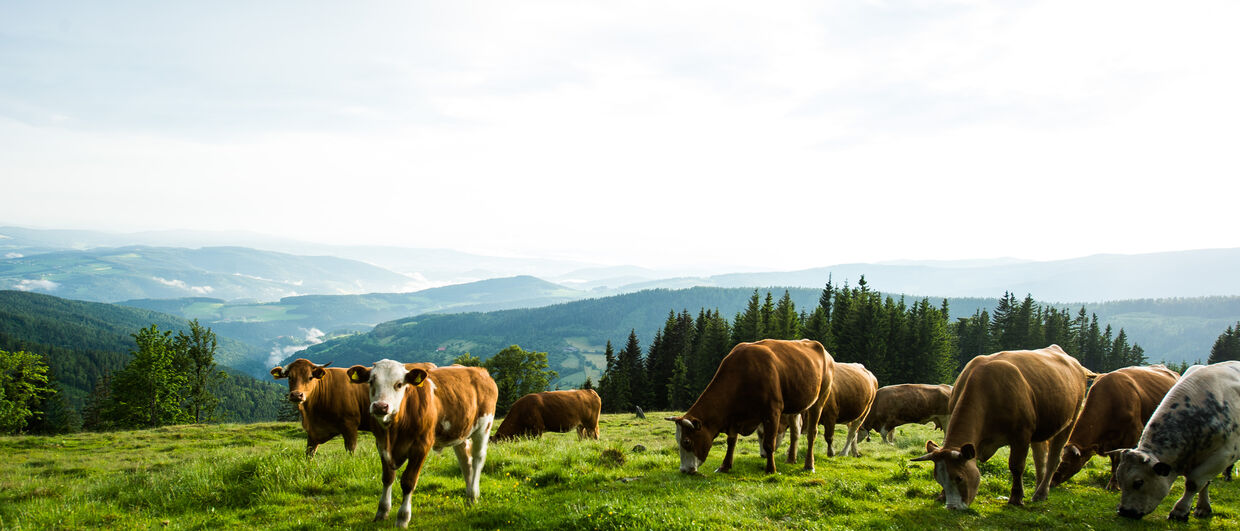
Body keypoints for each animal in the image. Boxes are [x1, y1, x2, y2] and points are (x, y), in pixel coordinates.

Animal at [347, 359, 496, 528]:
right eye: (371, 381)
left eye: (399, 384)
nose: (380, 406)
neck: (394, 431)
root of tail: (480, 371)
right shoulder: (381, 444)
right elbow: (387, 477)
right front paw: (382, 511)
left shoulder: (421, 446)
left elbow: (408, 481)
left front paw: (403, 517)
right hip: (461, 432)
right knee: (465, 461)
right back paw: (469, 497)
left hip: (484, 426)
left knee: (477, 460)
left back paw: (474, 495)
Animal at [659, 337, 833, 473]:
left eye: (687, 441)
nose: (683, 470)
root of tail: (823, 350)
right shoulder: (734, 417)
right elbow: (731, 442)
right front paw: (724, 466)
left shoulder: (773, 411)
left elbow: (769, 444)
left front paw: (771, 469)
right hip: (795, 406)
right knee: (795, 432)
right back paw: (791, 459)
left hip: (820, 399)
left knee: (811, 433)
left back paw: (809, 465)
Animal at [912, 344, 1096, 511]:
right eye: (939, 479)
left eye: (959, 478)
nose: (952, 507)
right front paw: (941, 496)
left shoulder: (1021, 435)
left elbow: (1016, 466)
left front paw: (1016, 498)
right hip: (1039, 431)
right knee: (1040, 459)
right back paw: (1038, 488)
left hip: (1069, 422)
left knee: (1053, 459)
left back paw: (1041, 493)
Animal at [1116, 359, 1240, 521]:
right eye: (1119, 479)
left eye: (1138, 482)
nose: (1124, 511)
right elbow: (1205, 483)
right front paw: (1203, 507)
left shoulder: (1223, 455)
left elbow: (1194, 483)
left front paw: (1180, 511)